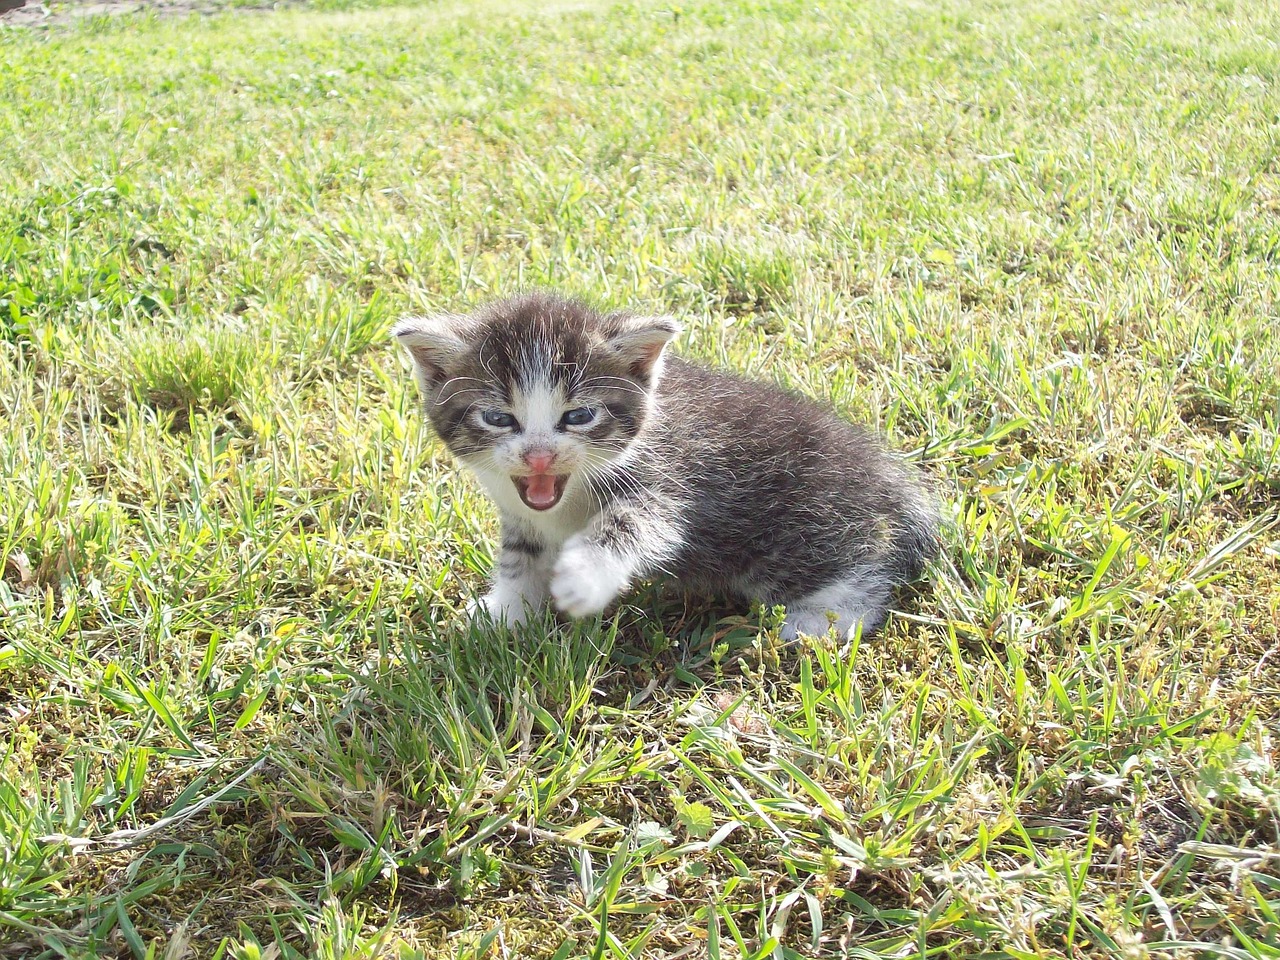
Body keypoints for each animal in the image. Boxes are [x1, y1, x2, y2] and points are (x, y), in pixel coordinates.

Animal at [389, 293, 942, 640]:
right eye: (499, 418)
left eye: (580, 416)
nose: (539, 455)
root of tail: (885, 474)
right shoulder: (520, 510)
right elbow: (520, 556)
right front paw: (507, 609)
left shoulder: (668, 474)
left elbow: (636, 524)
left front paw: (584, 576)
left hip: (799, 523)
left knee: (860, 561)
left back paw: (823, 619)